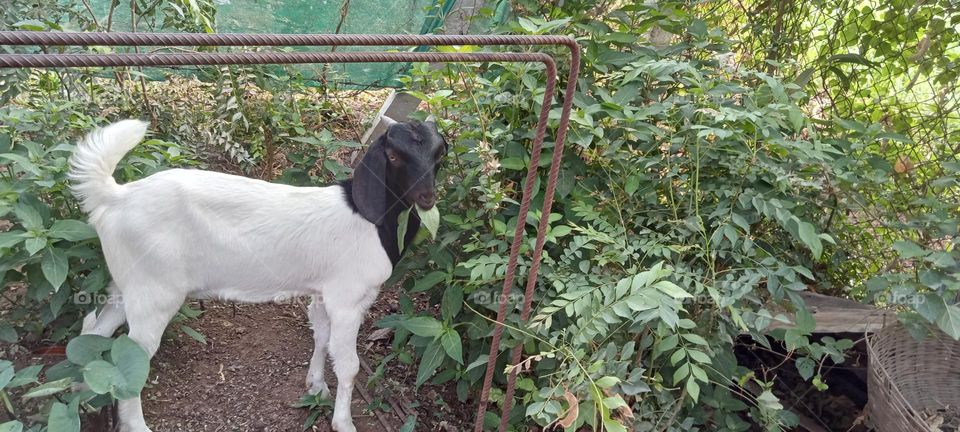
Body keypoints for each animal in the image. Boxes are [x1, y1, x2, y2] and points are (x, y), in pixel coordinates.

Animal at [69, 116, 447, 432]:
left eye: (439, 155)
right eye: (393, 156)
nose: (427, 197)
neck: (373, 221)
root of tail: (115, 197)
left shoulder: (323, 291)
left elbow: (321, 335)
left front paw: (316, 386)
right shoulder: (348, 298)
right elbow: (349, 364)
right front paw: (343, 422)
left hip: (126, 283)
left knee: (93, 329)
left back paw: (84, 397)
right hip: (155, 291)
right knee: (133, 354)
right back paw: (134, 425)